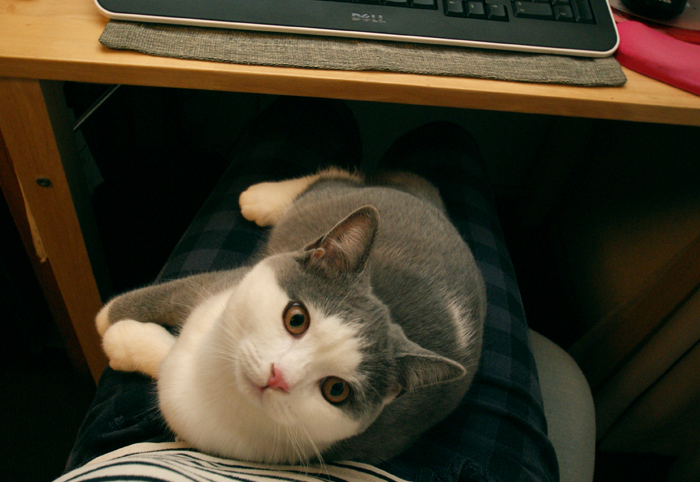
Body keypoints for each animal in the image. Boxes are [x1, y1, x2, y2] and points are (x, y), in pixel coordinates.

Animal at [96, 167, 486, 466]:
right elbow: (164, 297)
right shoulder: (220, 285)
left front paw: (121, 340)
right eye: (296, 318)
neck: (218, 385)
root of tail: (436, 210)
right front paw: (106, 320)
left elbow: (165, 363)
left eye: (336, 390)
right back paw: (262, 197)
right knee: (332, 179)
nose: (277, 376)